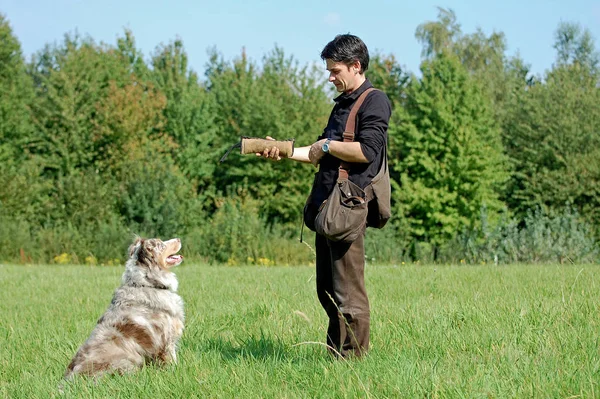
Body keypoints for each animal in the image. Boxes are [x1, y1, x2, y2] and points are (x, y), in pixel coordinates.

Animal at [62, 238, 185, 382]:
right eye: (161, 245)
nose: (179, 239)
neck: (147, 283)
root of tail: (69, 380)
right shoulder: (166, 339)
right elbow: (172, 360)